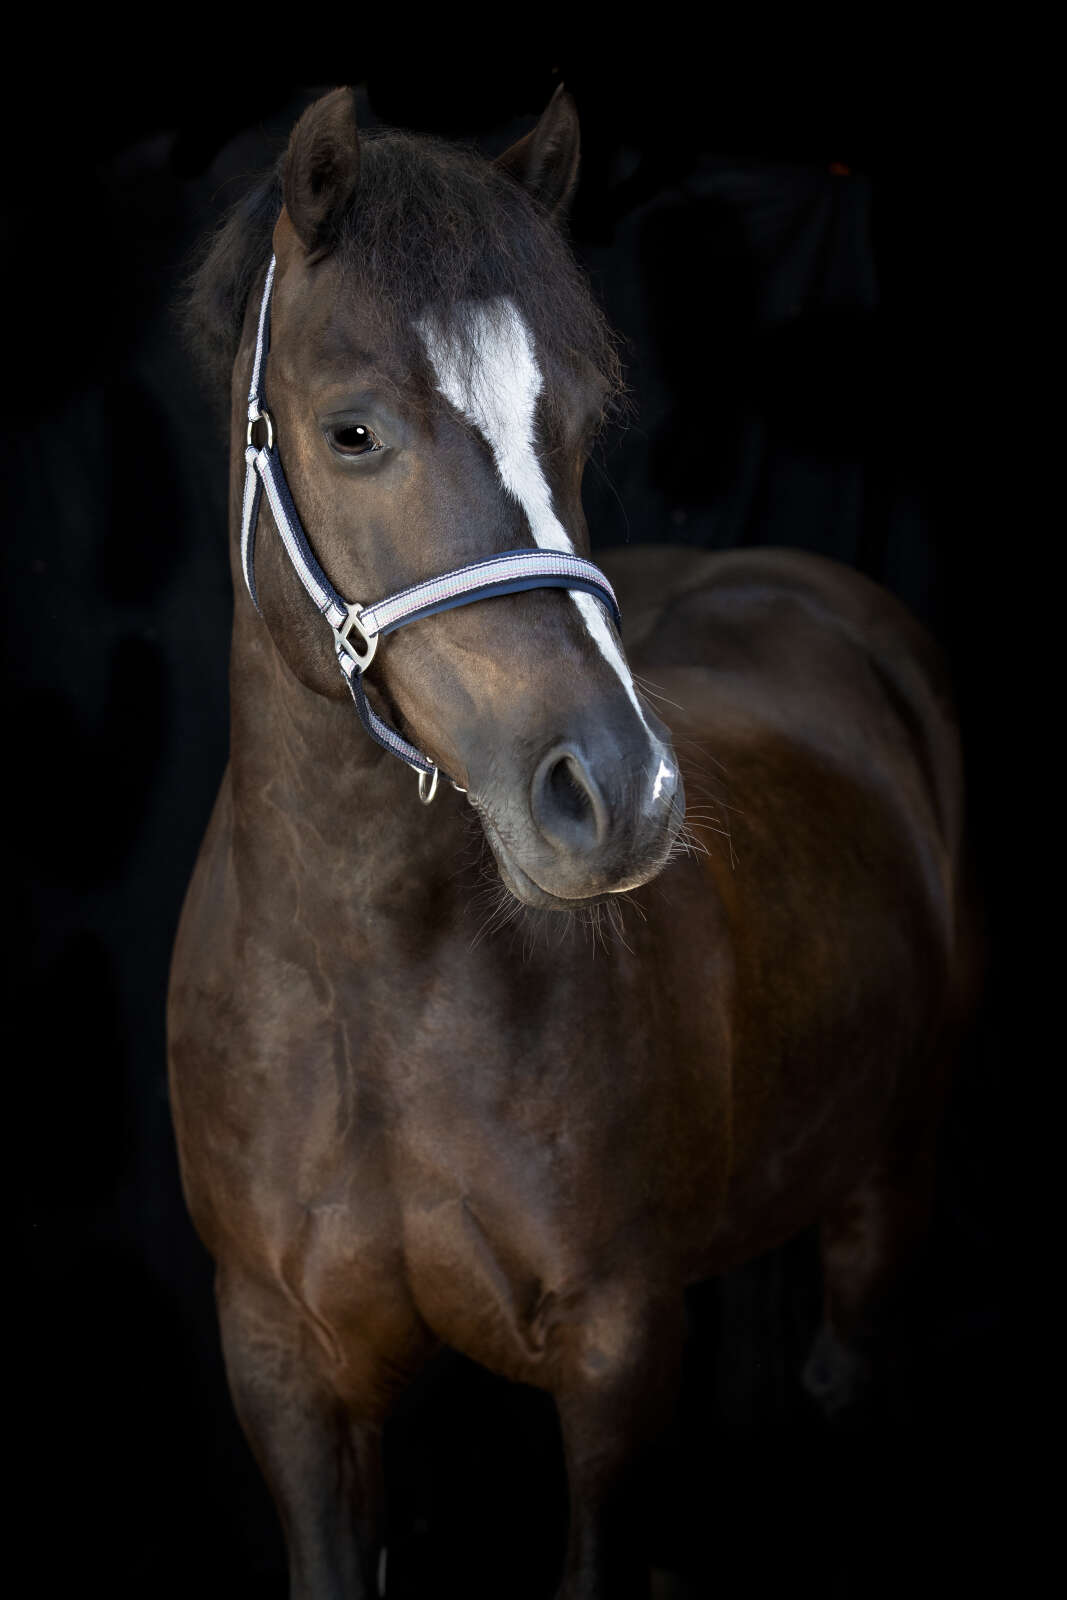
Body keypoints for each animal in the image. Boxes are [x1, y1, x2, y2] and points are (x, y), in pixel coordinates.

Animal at [168, 86, 972, 1599]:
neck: (373, 985)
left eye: (585, 420)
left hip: (887, 1179)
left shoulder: (615, 1352)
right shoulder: (285, 1370)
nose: (621, 792)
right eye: (352, 431)